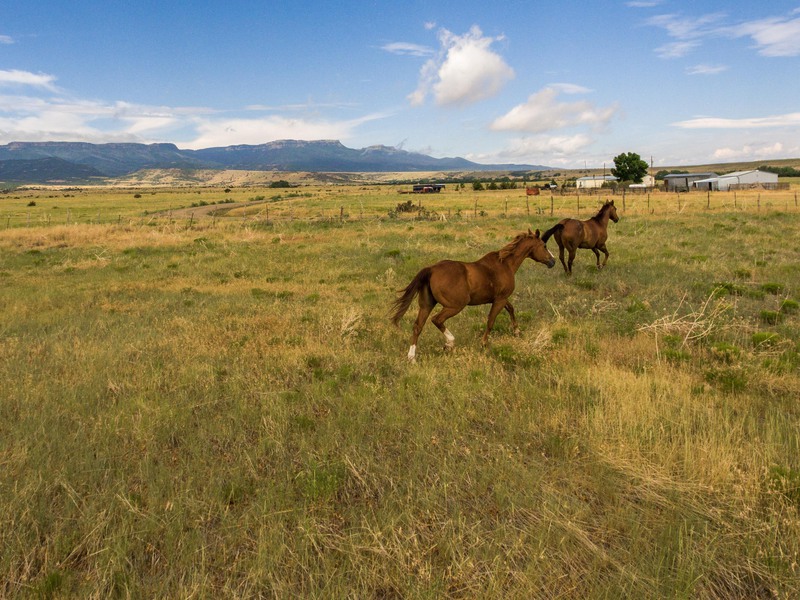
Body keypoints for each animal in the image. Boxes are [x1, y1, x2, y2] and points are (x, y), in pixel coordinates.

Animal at [390, 229, 552, 360]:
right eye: (544, 246)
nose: (553, 261)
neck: (505, 264)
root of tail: (431, 269)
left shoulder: (500, 298)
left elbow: (511, 309)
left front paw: (517, 331)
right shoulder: (500, 299)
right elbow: (491, 321)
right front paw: (484, 344)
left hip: (427, 305)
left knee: (418, 326)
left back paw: (412, 357)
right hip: (455, 306)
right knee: (437, 320)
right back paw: (449, 343)